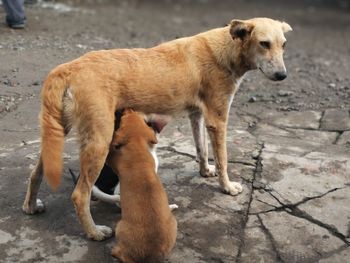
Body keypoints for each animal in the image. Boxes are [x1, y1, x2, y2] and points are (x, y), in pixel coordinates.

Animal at [22, 17, 292, 241]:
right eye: (264, 44)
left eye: (284, 45)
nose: (282, 75)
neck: (226, 48)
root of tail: (66, 68)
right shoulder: (218, 119)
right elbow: (223, 159)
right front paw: (227, 187)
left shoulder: (197, 115)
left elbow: (201, 149)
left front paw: (205, 171)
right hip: (99, 141)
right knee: (80, 195)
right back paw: (95, 233)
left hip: (58, 134)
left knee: (35, 172)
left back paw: (30, 206)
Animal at [107, 110, 178, 263]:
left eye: (123, 118)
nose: (128, 109)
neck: (137, 146)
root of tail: (150, 256)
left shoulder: (113, 160)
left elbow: (110, 152)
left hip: (120, 227)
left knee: (121, 254)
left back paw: (114, 252)